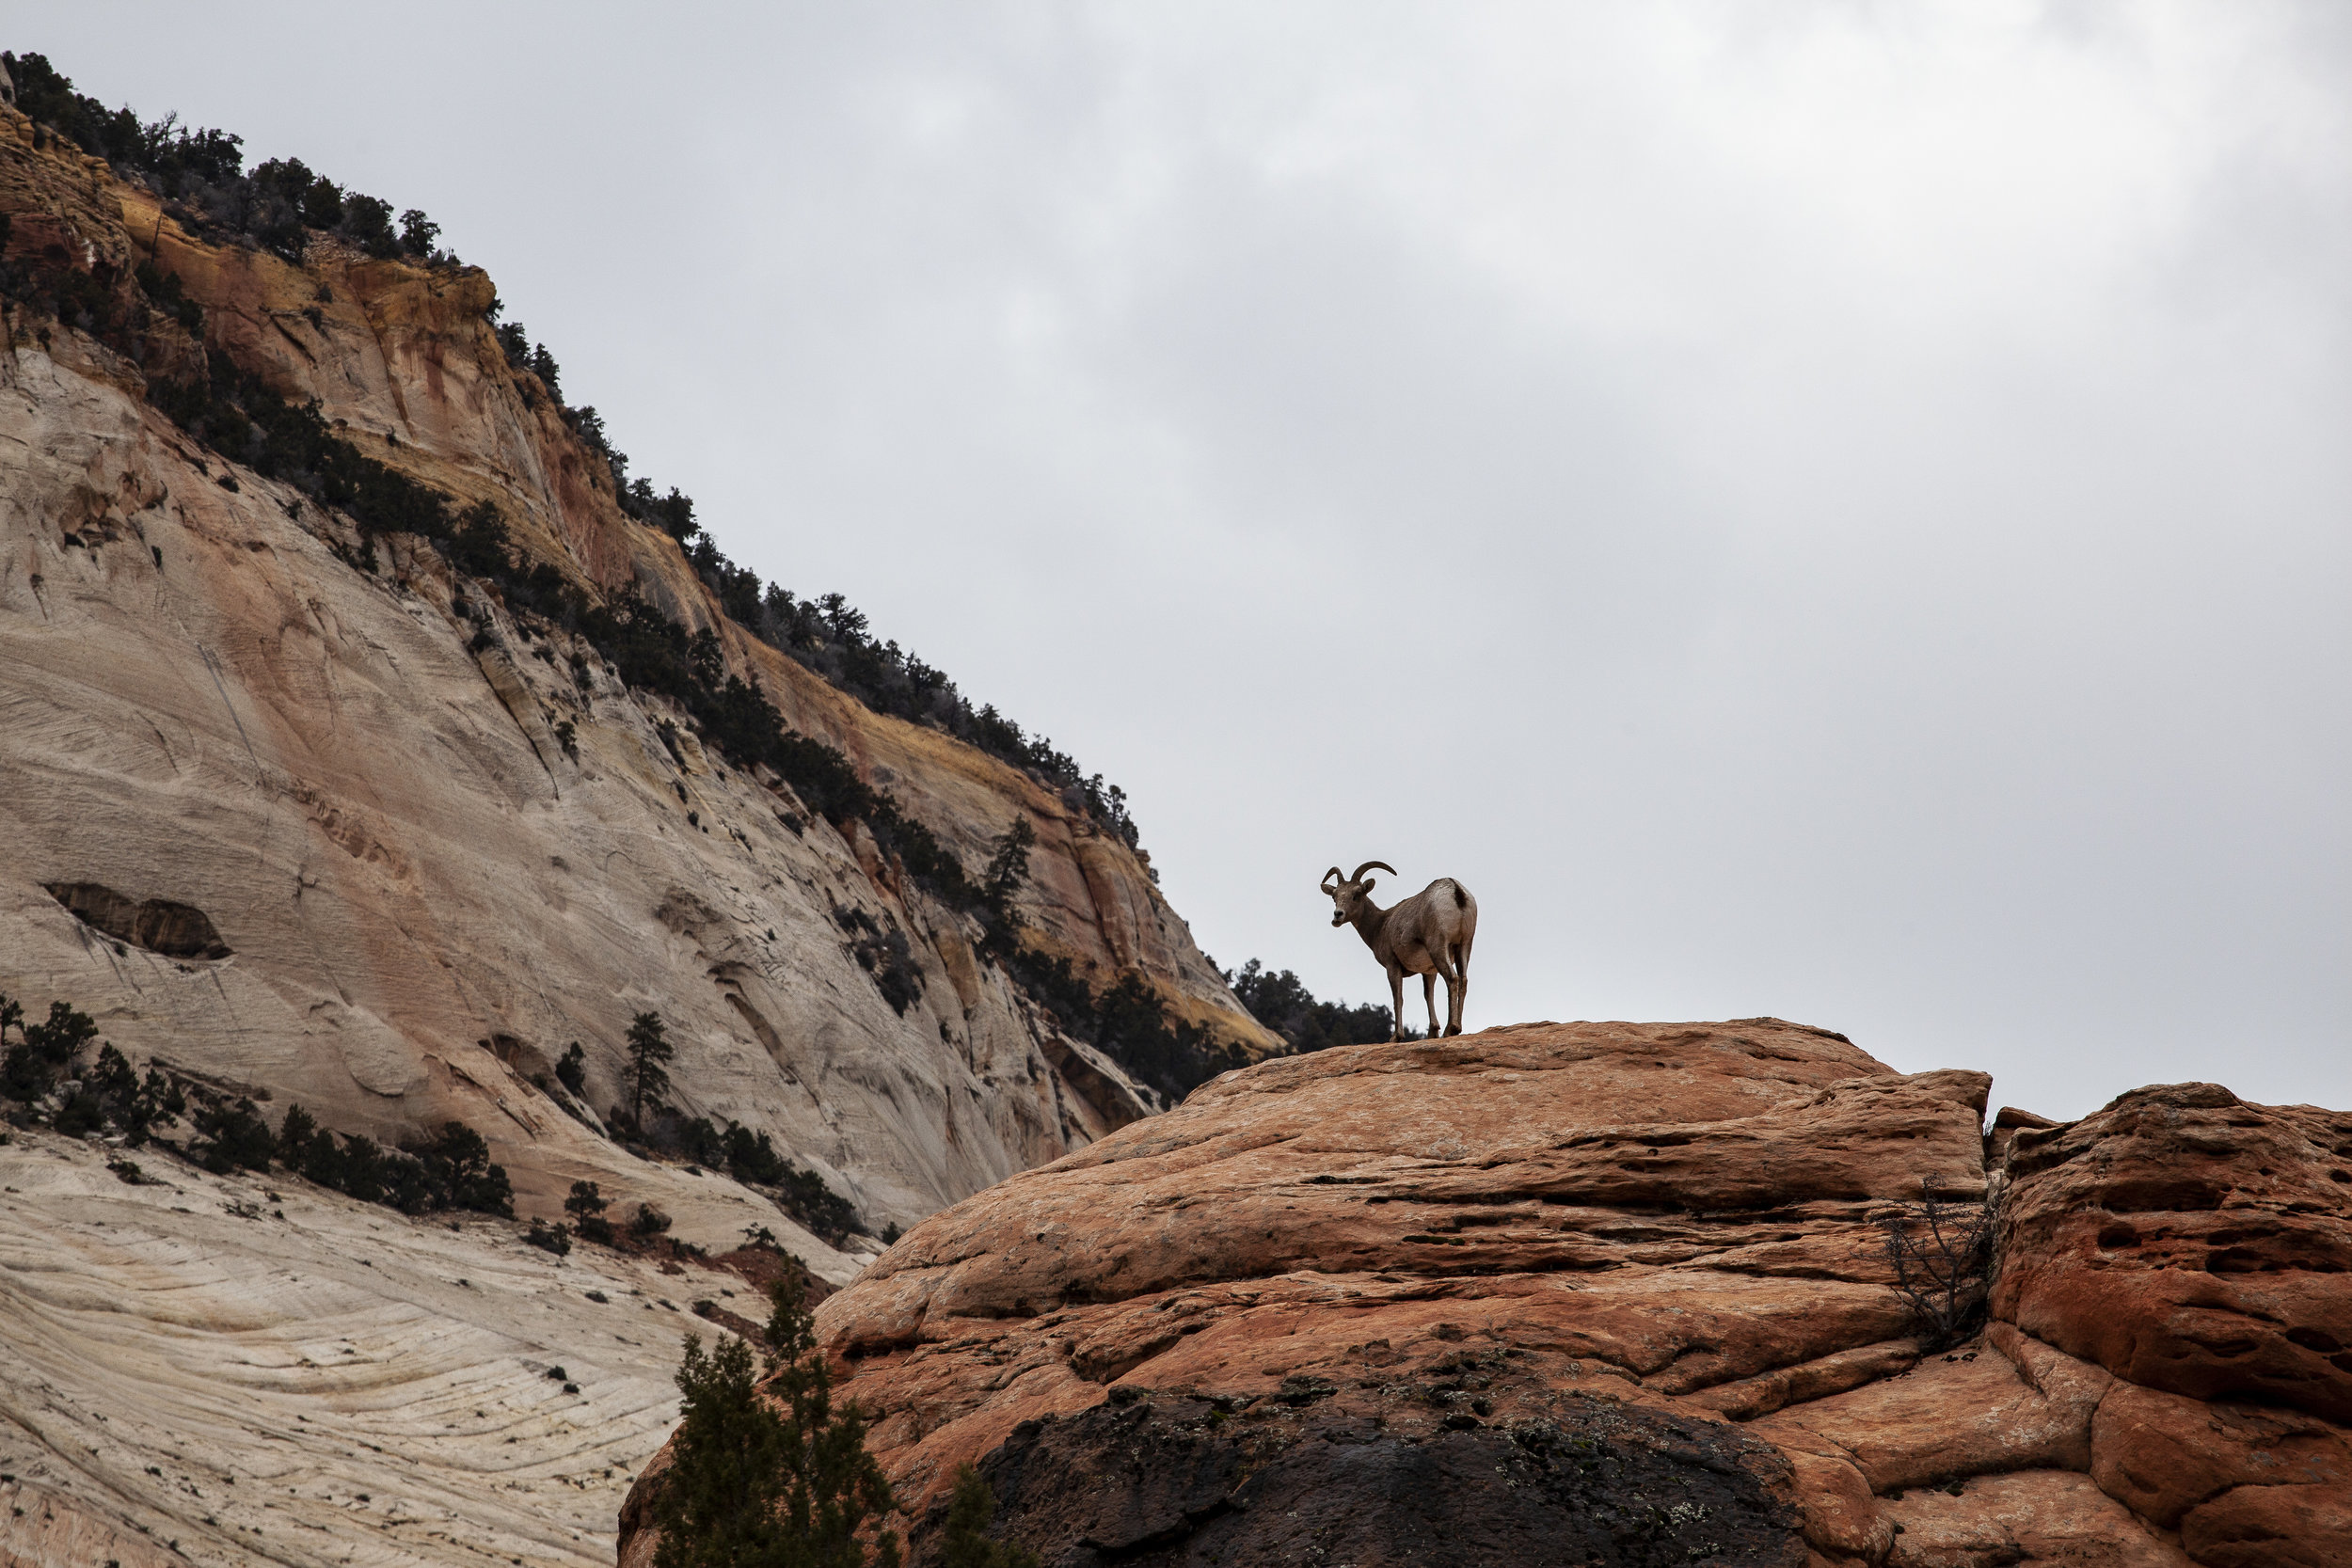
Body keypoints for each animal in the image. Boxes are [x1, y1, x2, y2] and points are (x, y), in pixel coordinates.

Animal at [1321, 861, 1478, 1040]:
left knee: (1452, 979)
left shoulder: (1392, 965)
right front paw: (1432, 1032)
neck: (1380, 925)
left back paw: (1450, 1029)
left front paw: (1396, 1036)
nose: (1337, 915)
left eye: (1357, 894)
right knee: (1463, 980)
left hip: (1438, 946)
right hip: (1464, 946)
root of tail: (1455, 891)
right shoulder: (1429, 970)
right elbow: (1428, 995)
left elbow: (1398, 999)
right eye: (1334, 896)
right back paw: (1457, 1028)